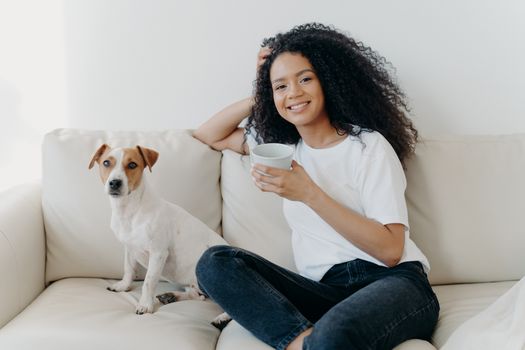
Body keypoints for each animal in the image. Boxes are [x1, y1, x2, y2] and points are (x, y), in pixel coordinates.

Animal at [88, 143, 229, 328]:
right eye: (106, 162)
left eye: (132, 164)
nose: (115, 182)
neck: (130, 210)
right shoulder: (129, 248)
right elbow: (128, 269)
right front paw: (123, 286)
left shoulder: (158, 253)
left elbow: (148, 281)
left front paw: (145, 305)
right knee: (197, 295)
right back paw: (172, 296)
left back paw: (222, 318)